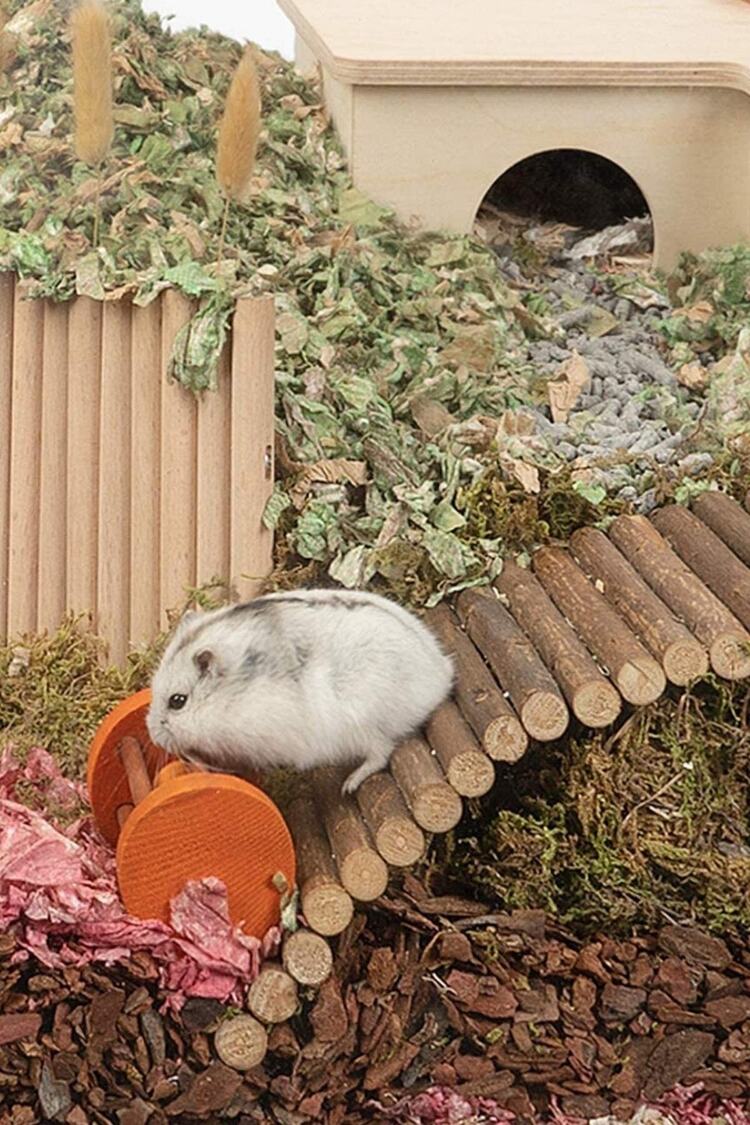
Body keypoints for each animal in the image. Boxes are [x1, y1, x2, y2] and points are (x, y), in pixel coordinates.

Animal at [146, 588, 454, 794]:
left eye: (177, 701)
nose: (153, 734)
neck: (229, 695)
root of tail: (441, 674)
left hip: (362, 725)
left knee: (382, 753)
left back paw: (348, 786)